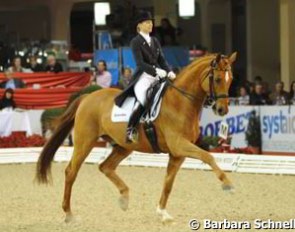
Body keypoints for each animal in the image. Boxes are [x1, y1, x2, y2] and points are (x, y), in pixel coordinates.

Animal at [35, 52, 238, 223]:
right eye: (218, 79)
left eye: (231, 80)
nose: (222, 110)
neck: (181, 102)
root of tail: (87, 96)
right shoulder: (179, 145)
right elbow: (208, 156)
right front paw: (228, 184)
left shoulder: (177, 153)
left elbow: (168, 183)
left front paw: (162, 213)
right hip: (85, 142)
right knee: (71, 172)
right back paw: (69, 214)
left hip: (124, 146)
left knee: (105, 167)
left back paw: (124, 198)